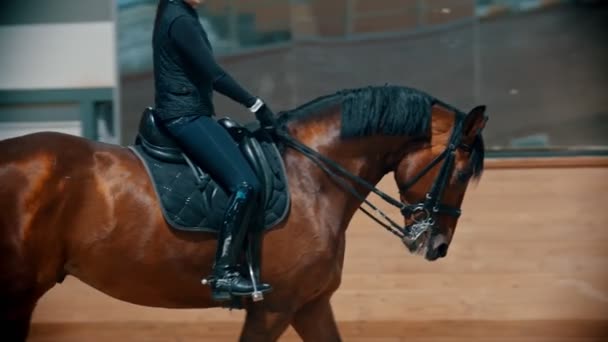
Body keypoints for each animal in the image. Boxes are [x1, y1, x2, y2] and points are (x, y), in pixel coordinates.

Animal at [0, 84, 484, 340]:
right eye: (461, 172)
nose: (438, 245)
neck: (312, 176)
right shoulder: (274, 308)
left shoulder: (310, 305)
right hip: (18, 293)